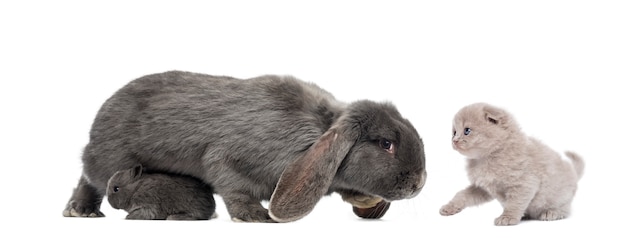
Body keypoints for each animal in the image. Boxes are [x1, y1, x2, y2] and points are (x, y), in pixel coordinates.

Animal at [62, 69, 424, 222]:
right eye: (386, 143)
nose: (419, 184)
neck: (314, 130)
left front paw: (363, 198)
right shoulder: (229, 158)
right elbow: (233, 185)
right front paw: (254, 217)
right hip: (107, 161)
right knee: (88, 177)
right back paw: (80, 210)